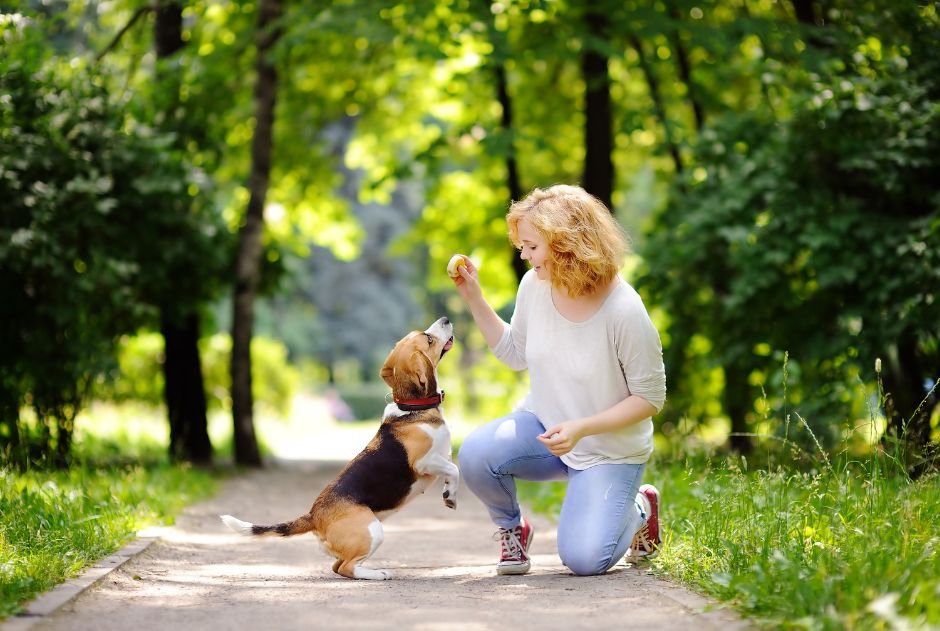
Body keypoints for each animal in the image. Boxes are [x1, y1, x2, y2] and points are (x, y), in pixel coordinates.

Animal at [220, 318, 456, 580]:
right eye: (428, 339)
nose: (445, 319)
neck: (412, 408)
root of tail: (313, 515)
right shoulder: (424, 462)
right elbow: (454, 468)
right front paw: (451, 496)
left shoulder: (442, 457)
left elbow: (450, 469)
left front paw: (449, 494)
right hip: (373, 530)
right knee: (347, 567)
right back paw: (377, 573)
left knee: (338, 567)